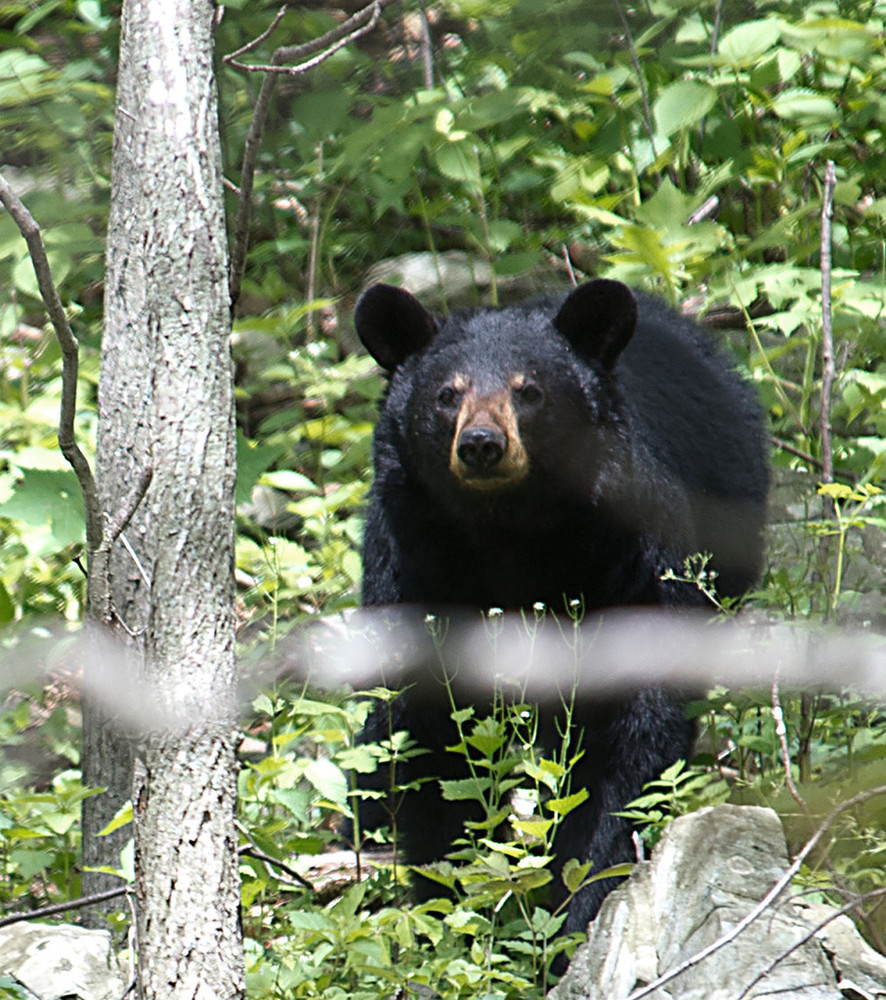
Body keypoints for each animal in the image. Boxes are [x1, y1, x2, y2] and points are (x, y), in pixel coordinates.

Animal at [354, 280, 772, 944]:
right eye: (447, 394)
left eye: (529, 390)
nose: (481, 445)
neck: (509, 535)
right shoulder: (414, 572)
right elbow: (429, 740)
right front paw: (457, 906)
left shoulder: (629, 561)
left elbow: (625, 742)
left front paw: (575, 910)